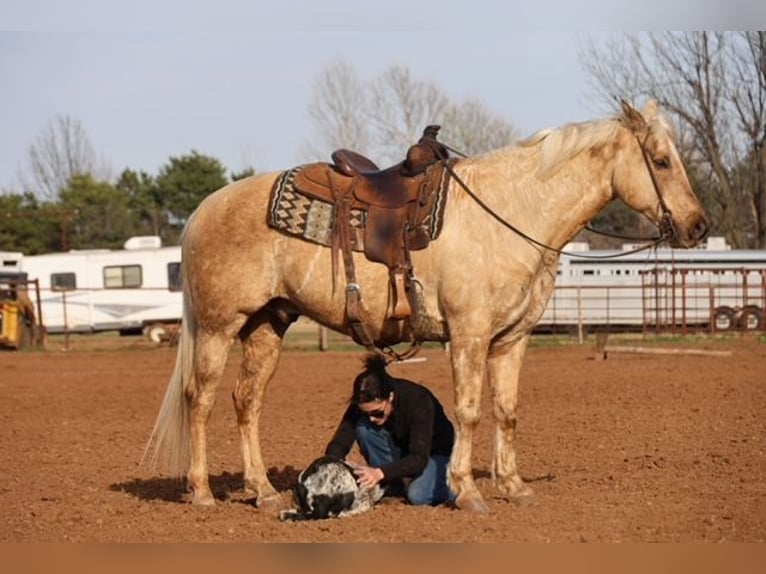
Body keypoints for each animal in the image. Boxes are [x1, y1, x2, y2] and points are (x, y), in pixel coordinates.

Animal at [144, 100, 709, 513]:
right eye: (661, 160)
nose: (698, 226)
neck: (510, 212)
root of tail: (203, 210)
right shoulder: (469, 335)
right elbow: (470, 410)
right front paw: (469, 491)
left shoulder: (511, 339)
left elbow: (507, 410)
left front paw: (514, 486)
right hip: (218, 327)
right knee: (201, 400)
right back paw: (201, 492)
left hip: (267, 325)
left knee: (247, 401)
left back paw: (261, 491)